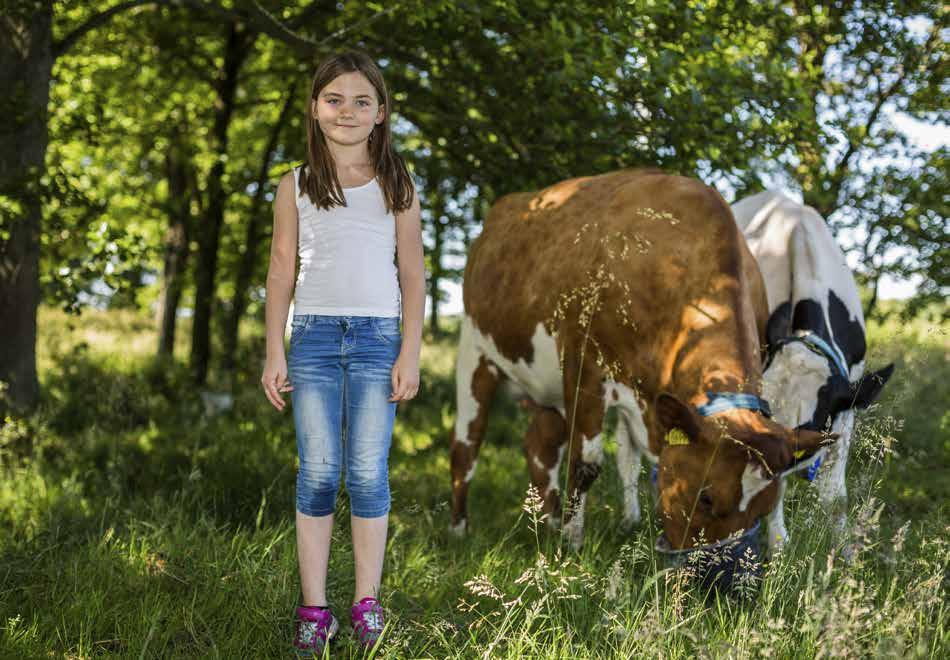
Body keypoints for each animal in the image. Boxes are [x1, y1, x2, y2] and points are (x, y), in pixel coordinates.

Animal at [450, 170, 836, 552]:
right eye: (707, 498)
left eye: (762, 510)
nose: (711, 571)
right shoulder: (583, 364)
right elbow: (585, 464)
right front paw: (571, 547)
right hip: (474, 350)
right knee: (467, 444)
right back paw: (460, 529)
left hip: (547, 388)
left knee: (539, 447)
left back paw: (551, 522)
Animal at [732, 189, 896, 548]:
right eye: (764, 416)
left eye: (807, 431)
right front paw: (779, 545)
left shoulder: (849, 397)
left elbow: (835, 497)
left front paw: (845, 550)